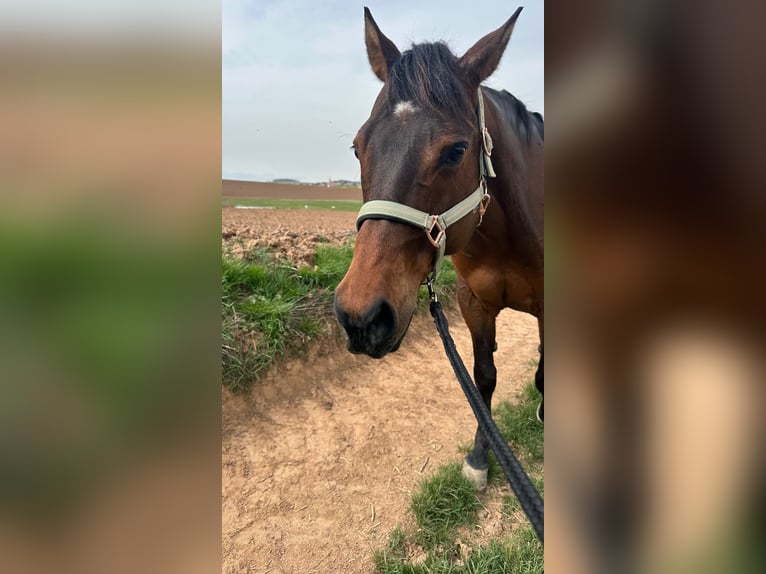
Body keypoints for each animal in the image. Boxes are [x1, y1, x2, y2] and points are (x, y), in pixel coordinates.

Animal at [334, 7, 544, 490]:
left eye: (456, 150)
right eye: (357, 147)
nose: (361, 316)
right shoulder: (474, 303)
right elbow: (483, 378)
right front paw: (480, 456)